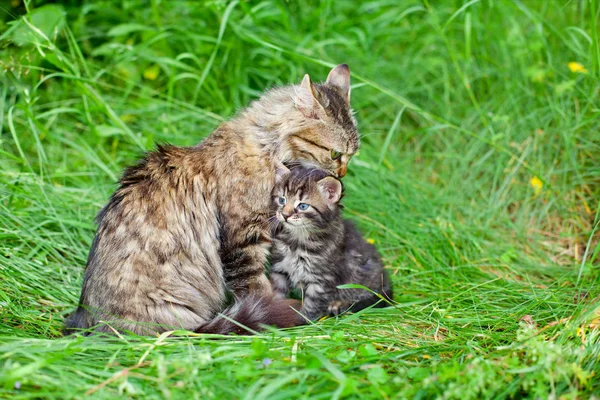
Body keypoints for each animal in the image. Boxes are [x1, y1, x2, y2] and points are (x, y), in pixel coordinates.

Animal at [64, 65, 360, 334]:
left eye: (353, 154)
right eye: (336, 154)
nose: (343, 174)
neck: (268, 148)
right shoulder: (243, 238)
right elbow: (256, 288)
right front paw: (271, 309)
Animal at [268, 167, 392, 320]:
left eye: (303, 206)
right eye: (282, 200)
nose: (284, 215)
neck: (297, 240)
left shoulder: (321, 279)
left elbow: (311, 305)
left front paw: (301, 320)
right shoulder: (280, 269)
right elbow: (277, 292)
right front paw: (272, 312)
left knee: (372, 299)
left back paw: (340, 304)